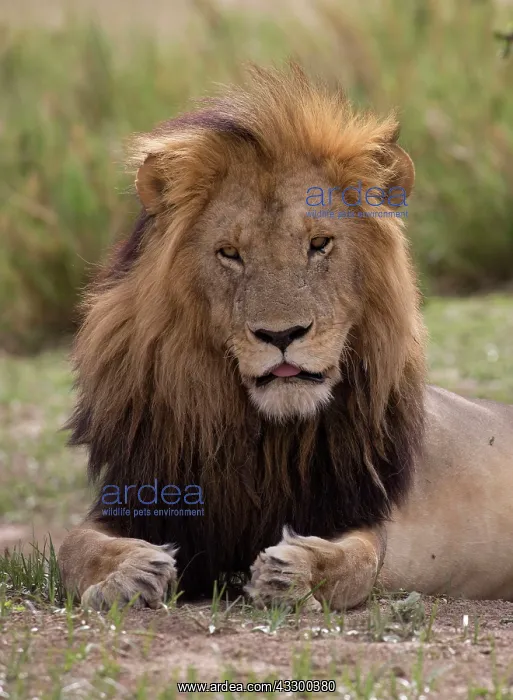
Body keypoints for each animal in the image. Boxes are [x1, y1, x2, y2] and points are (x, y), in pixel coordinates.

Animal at [58, 65, 513, 611]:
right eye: (230, 253)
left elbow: (357, 560)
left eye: (319, 244)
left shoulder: (357, 511)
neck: (264, 439)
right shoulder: (140, 494)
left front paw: (290, 572)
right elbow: (74, 545)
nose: (282, 334)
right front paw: (128, 575)